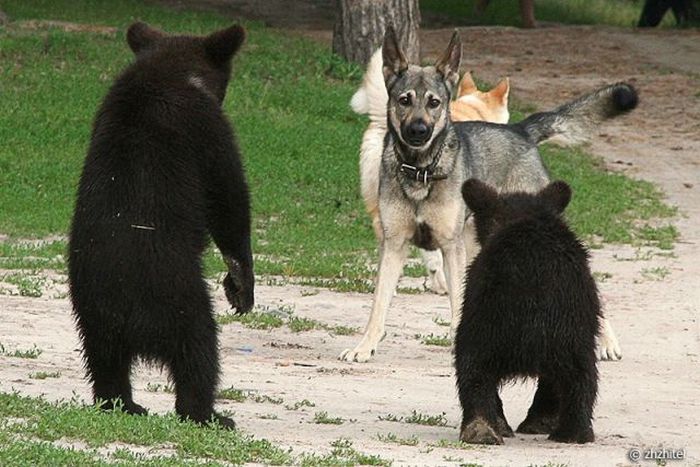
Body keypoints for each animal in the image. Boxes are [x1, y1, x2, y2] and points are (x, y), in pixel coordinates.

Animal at [338, 27, 636, 364]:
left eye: (434, 102)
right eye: (404, 100)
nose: (418, 131)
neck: (421, 171)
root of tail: (521, 131)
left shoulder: (450, 248)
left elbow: (455, 304)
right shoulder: (394, 246)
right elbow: (378, 305)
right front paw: (365, 346)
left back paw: (605, 342)